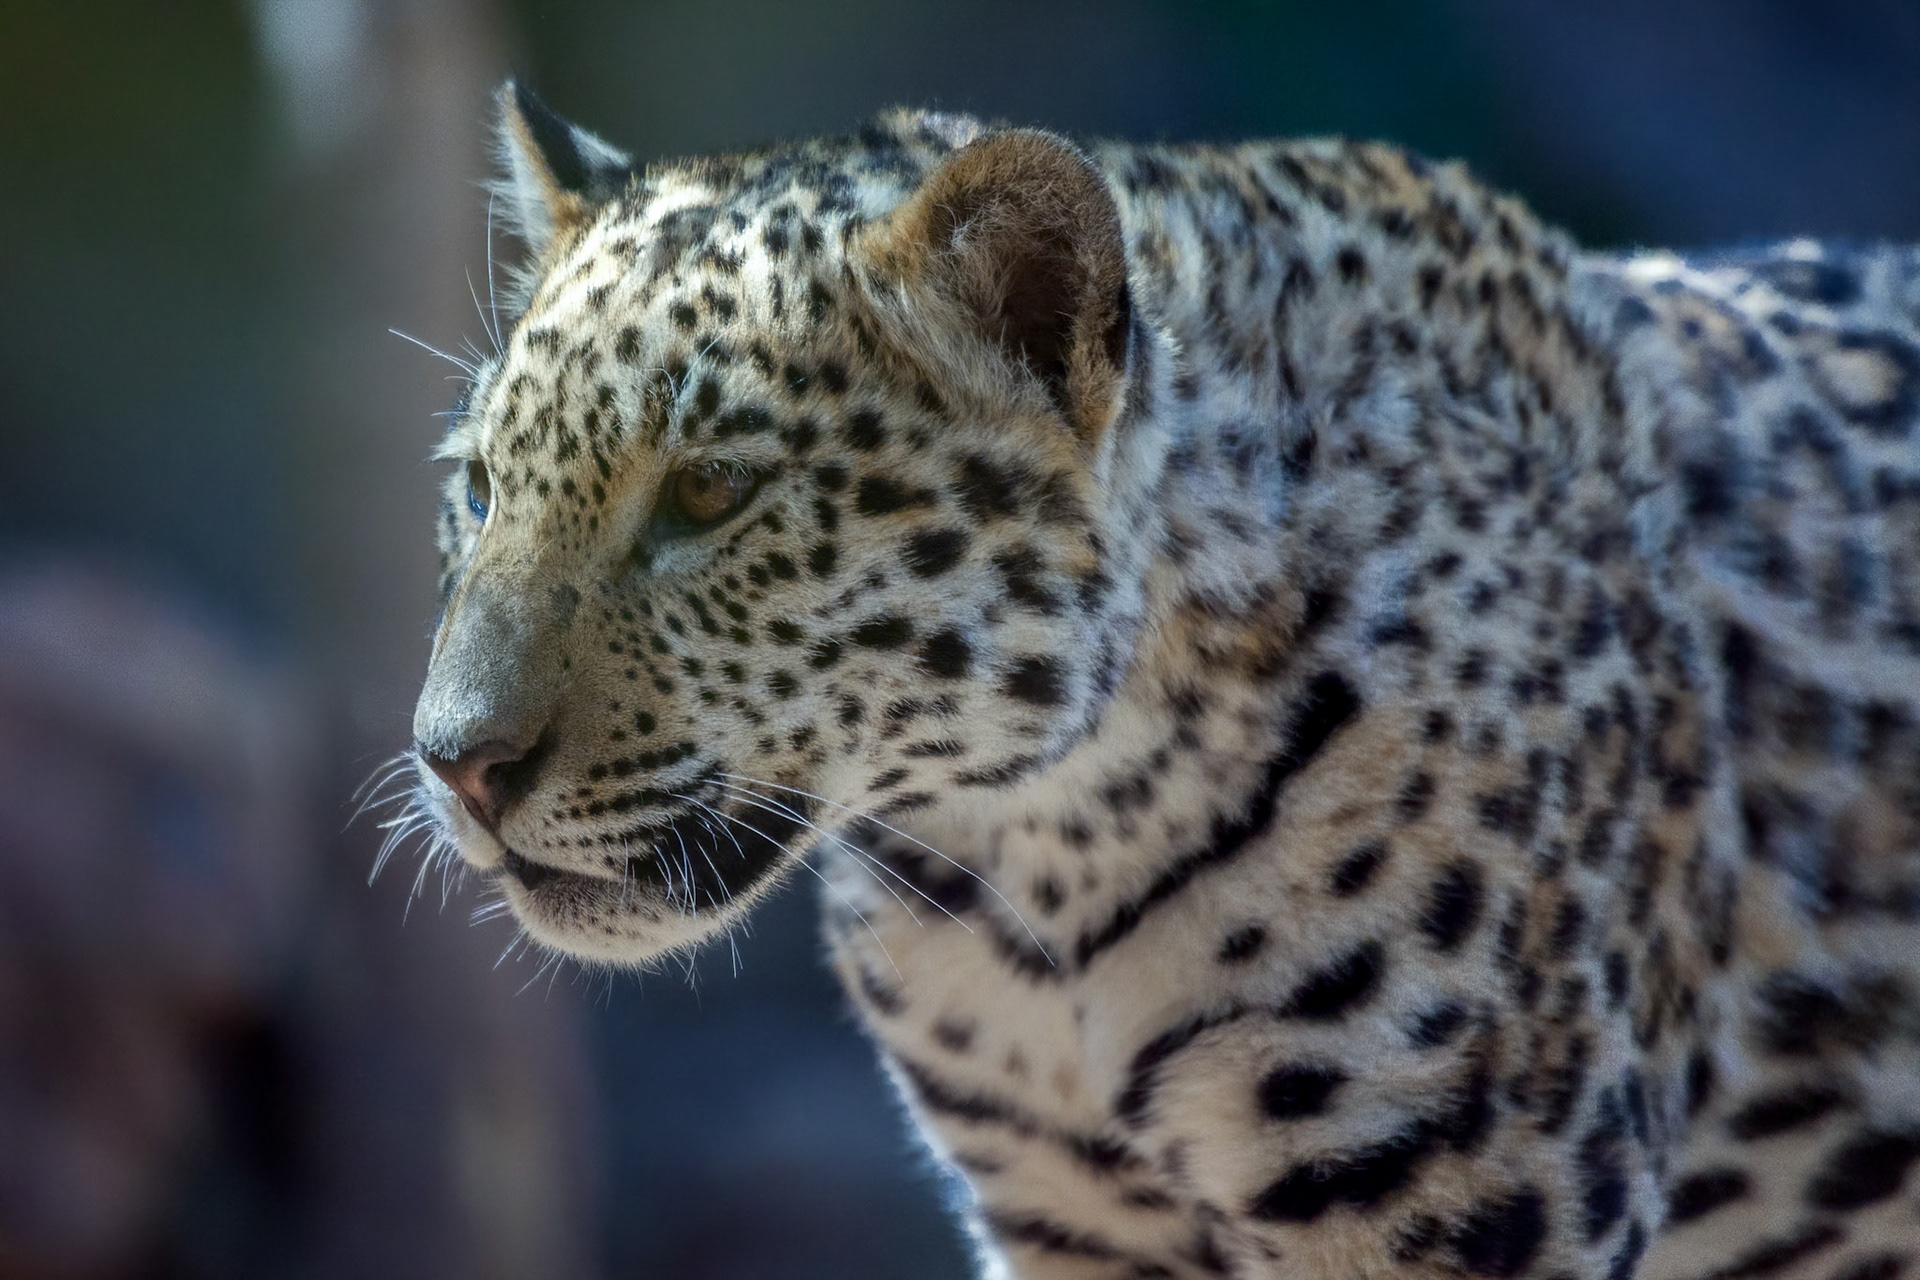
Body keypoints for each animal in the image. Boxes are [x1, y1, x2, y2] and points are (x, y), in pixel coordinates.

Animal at [405, 81, 1920, 1279]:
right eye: (479, 492)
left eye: (711, 493)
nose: (456, 763)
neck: (1033, 859)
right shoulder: (1065, 1219)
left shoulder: (1476, 1204)